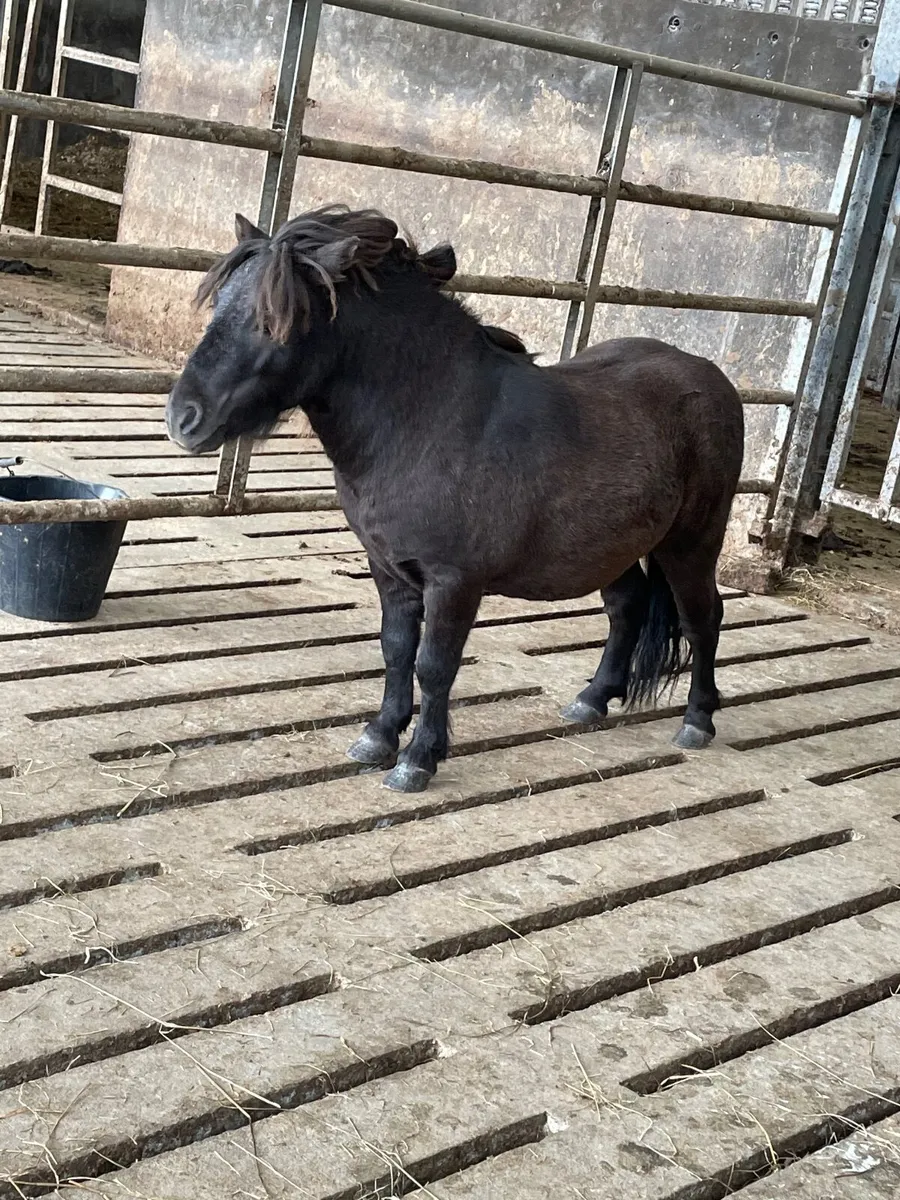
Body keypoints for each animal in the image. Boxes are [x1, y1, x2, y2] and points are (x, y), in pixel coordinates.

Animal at [166, 205, 745, 794]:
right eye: (219, 305)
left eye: (273, 321)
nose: (184, 418)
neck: (431, 421)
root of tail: (709, 376)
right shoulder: (389, 570)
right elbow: (396, 650)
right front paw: (379, 736)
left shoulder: (454, 582)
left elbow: (434, 664)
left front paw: (418, 758)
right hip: (614, 549)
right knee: (627, 608)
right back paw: (592, 699)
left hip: (690, 546)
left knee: (703, 619)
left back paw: (698, 719)